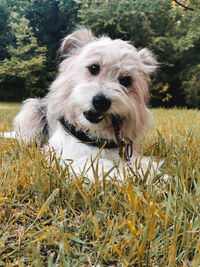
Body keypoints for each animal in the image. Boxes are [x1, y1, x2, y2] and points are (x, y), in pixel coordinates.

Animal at [13, 28, 161, 181]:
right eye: (93, 67)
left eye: (126, 80)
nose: (101, 102)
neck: (93, 134)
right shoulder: (63, 156)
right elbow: (99, 165)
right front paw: (123, 175)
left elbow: (144, 165)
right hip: (30, 110)